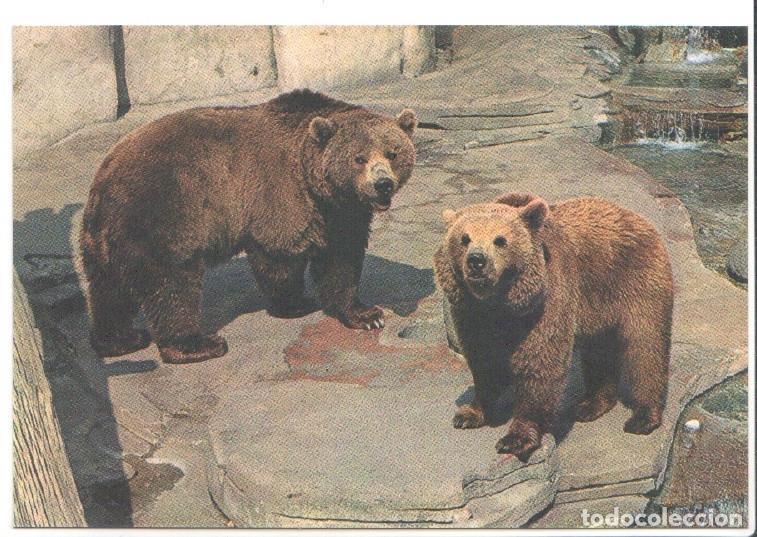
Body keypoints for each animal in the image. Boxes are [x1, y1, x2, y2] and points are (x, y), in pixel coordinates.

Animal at [75, 89, 417, 364]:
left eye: (393, 153)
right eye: (359, 158)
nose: (382, 185)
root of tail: (105, 178)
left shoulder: (338, 214)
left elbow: (341, 259)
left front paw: (366, 314)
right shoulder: (279, 192)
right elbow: (279, 254)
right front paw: (295, 303)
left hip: (108, 235)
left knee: (110, 289)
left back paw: (119, 339)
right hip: (165, 214)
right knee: (172, 285)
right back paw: (197, 344)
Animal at [433, 192, 673, 461]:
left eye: (500, 240)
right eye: (464, 238)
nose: (477, 261)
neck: (501, 302)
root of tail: (635, 216)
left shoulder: (546, 303)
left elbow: (541, 365)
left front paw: (516, 438)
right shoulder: (473, 314)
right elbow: (485, 360)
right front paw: (470, 413)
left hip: (636, 281)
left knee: (645, 345)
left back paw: (643, 416)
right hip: (599, 309)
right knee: (599, 353)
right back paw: (590, 404)